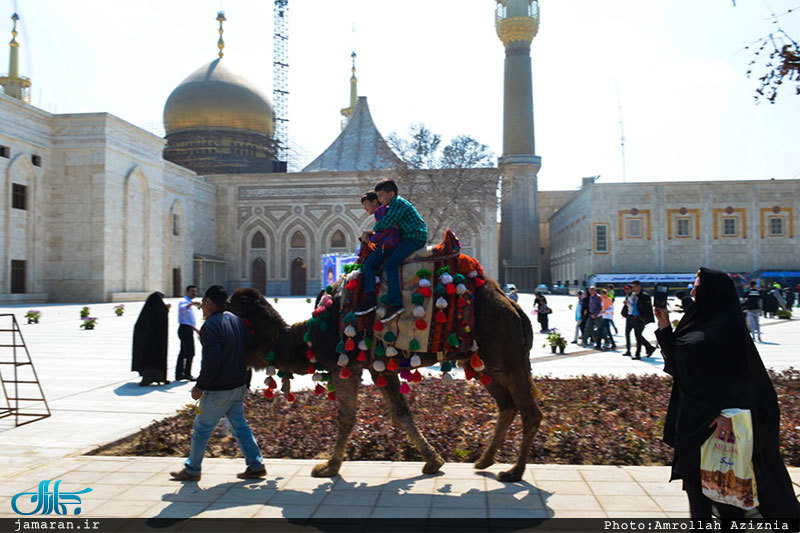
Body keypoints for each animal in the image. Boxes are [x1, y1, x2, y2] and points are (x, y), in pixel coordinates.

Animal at [228, 249, 548, 482]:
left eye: (233, 308)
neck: (310, 333)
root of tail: (513, 305)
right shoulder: (378, 367)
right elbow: (401, 413)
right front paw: (433, 461)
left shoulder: (344, 365)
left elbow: (346, 416)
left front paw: (328, 467)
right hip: (484, 363)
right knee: (507, 405)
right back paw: (484, 460)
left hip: (508, 357)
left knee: (530, 411)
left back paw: (514, 472)